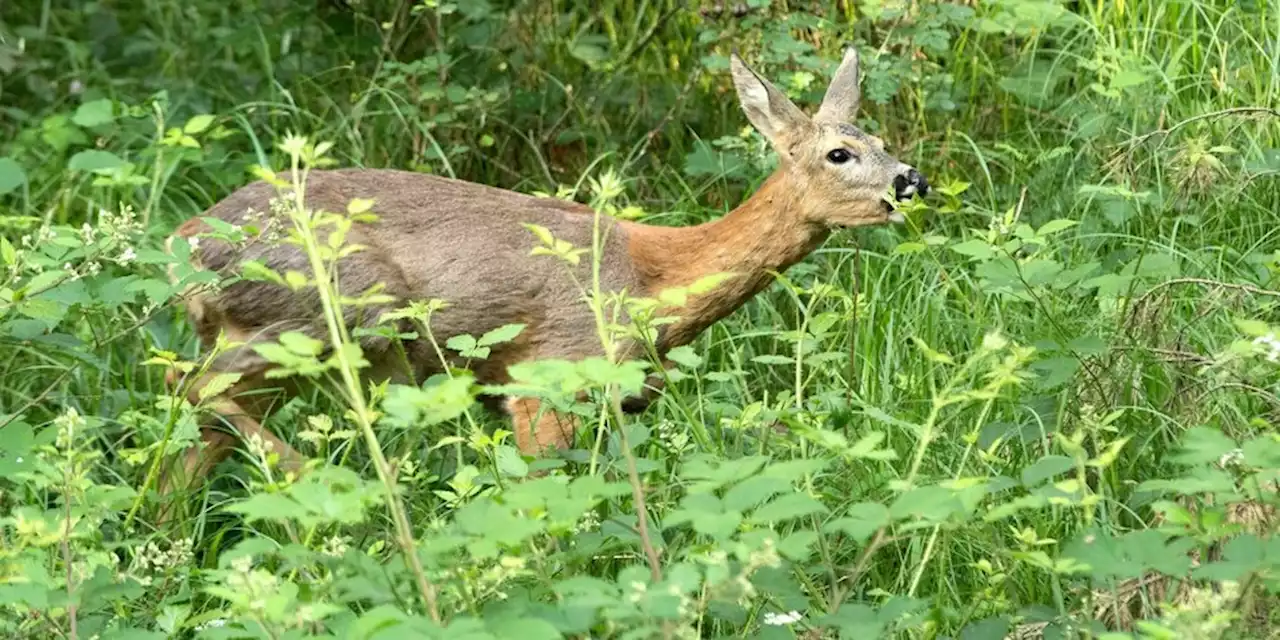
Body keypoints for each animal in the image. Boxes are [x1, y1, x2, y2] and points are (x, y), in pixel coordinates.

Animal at [160, 49, 931, 499]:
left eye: (880, 139)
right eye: (839, 153)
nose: (912, 180)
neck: (652, 281)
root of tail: (184, 245)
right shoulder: (547, 376)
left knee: (196, 432)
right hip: (328, 313)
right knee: (189, 389)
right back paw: (332, 480)